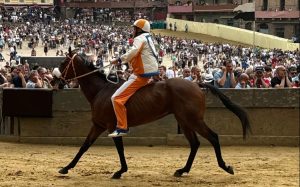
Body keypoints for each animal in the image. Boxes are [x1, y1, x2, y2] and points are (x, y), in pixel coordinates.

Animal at [56, 49, 251, 179]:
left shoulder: (112, 126)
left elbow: (119, 149)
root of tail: (196, 83)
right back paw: (182, 170)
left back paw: (225, 166)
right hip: (184, 120)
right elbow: (84, 146)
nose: (54, 81)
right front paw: (66, 168)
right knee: (195, 143)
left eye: (63, 63)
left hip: (193, 120)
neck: (101, 91)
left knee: (213, 137)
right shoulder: (98, 125)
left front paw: (120, 171)